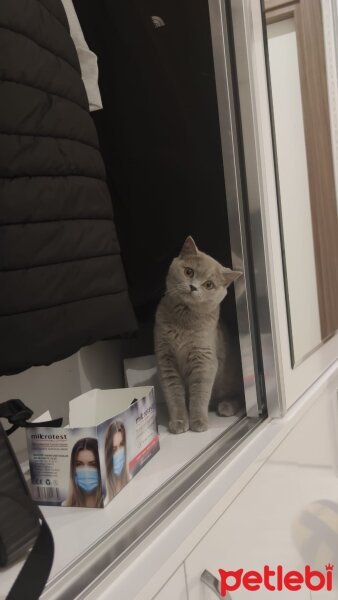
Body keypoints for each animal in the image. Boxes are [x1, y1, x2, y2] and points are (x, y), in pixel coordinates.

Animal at [154, 237, 244, 434]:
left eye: (209, 284)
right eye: (189, 271)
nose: (193, 287)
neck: (184, 321)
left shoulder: (205, 360)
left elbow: (199, 394)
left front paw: (198, 423)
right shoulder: (165, 359)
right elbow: (174, 394)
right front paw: (179, 422)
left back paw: (226, 407)